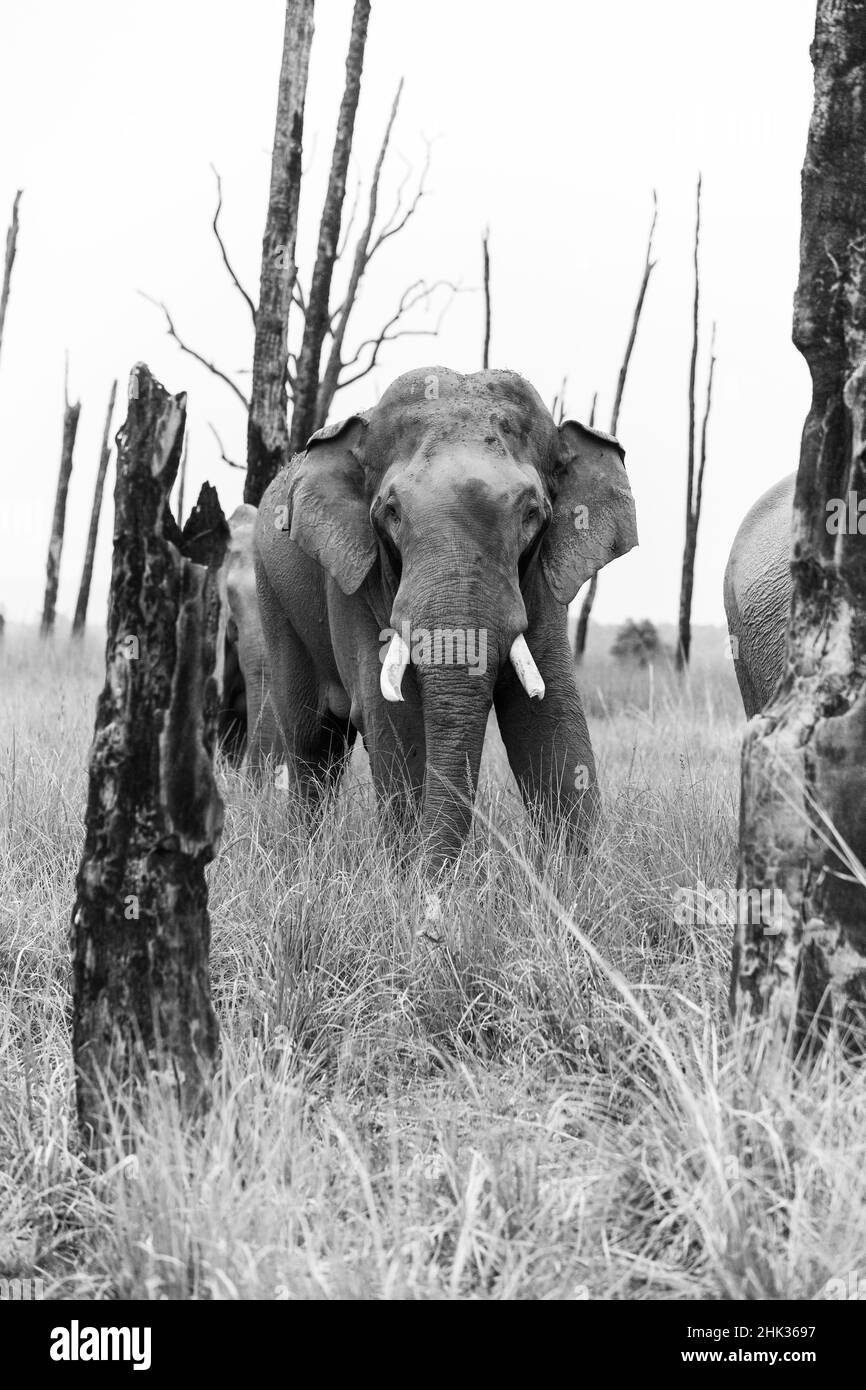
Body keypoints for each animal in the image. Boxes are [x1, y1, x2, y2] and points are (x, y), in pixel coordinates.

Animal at [250, 369, 636, 867]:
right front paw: (412, 878)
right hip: (272, 595)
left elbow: (548, 715)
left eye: (532, 514)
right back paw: (299, 860)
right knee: (311, 740)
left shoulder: (542, 580)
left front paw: (581, 874)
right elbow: (395, 719)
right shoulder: (354, 579)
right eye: (391, 513)